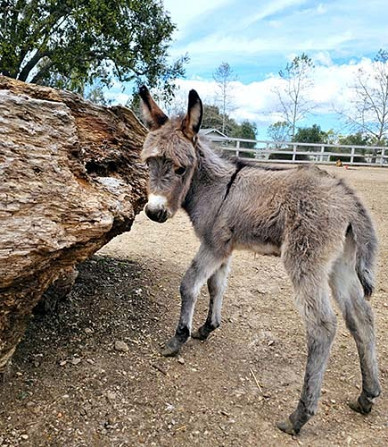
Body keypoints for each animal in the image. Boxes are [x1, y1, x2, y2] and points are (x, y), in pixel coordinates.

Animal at [138, 86, 380, 436]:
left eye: (181, 168)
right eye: (148, 164)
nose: (154, 212)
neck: (215, 187)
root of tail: (348, 198)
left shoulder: (212, 245)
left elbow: (189, 285)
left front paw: (177, 339)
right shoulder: (223, 248)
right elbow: (216, 286)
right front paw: (207, 327)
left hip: (305, 260)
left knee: (323, 326)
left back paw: (299, 416)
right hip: (340, 265)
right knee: (361, 316)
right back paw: (367, 395)